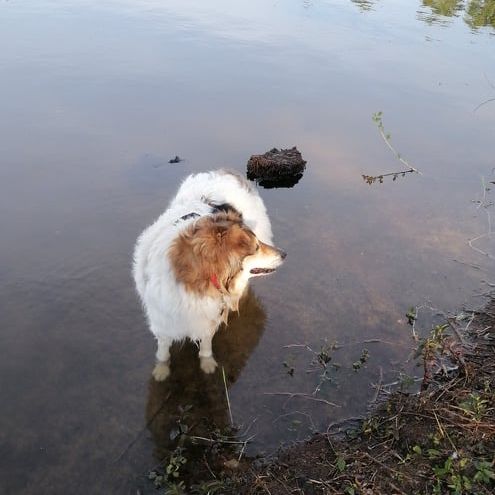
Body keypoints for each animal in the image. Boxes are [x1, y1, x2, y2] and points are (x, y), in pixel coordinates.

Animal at [133, 169, 286, 382]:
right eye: (255, 248)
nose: (284, 254)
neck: (195, 280)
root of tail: (226, 172)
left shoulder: (209, 314)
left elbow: (206, 343)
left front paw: (207, 364)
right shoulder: (163, 320)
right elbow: (163, 349)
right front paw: (161, 370)